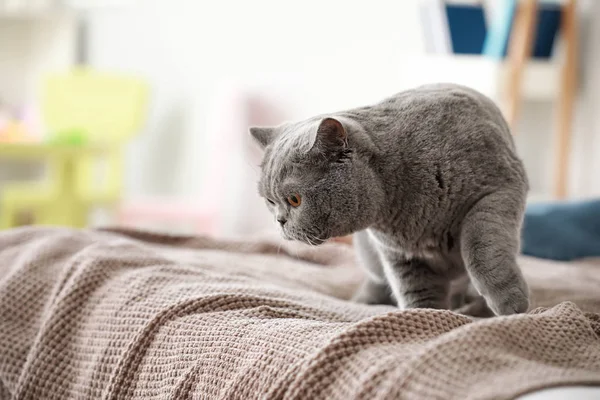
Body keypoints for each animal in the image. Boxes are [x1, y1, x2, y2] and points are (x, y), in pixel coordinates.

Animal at [248, 83, 528, 316]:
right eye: (271, 201)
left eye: (295, 200)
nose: (280, 221)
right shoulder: (399, 253)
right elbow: (416, 290)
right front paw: (426, 318)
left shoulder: (498, 190)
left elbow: (480, 250)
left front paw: (512, 308)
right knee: (377, 281)